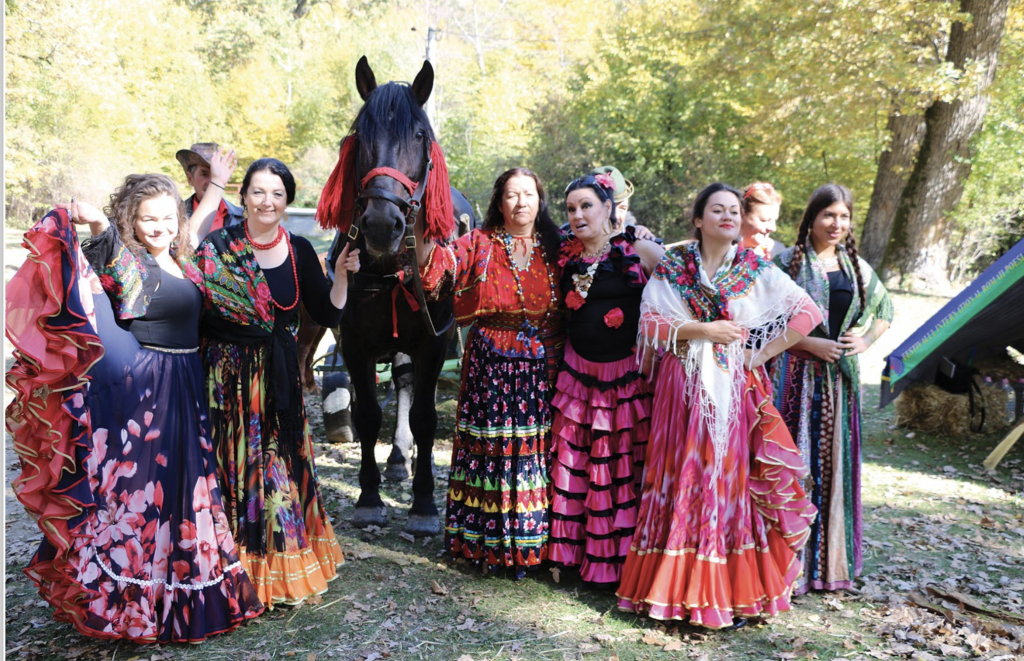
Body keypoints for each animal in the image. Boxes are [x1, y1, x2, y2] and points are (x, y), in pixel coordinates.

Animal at [321, 57, 458, 540]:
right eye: (361, 135)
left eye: (418, 135)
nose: (382, 223)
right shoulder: (353, 343)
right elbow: (366, 415)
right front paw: (368, 499)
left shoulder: (435, 341)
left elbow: (424, 417)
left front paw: (424, 505)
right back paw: (397, 460)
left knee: (408, 387)